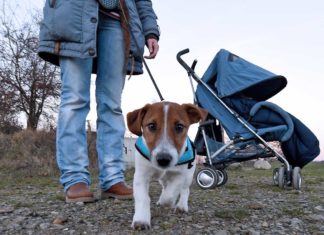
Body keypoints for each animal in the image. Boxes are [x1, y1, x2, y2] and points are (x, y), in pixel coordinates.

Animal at [125, 101, 206, 229]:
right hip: (162, 179)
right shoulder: (141, 176)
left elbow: (170, 195)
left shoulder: (180, 175)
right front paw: (141, 220)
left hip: (188, 175)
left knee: (184, 190)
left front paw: (166, 201)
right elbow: (143, 198)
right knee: (165, 186)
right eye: (151, 126)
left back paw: (181, 206)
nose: (163, 159)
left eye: (179, 127)